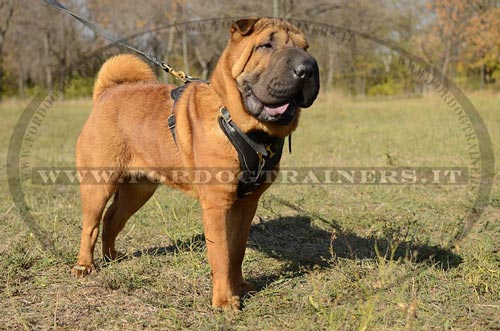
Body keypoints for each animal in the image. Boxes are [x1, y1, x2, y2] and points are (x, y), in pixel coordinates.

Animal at [71, 18, 320, 312]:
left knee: (112, 219)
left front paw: (241, 287)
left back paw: (112, 256)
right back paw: (85, 267)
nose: (307, 68)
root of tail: (107, 93)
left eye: (305, 48)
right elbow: (221, 253)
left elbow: (237, 250)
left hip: (139, 190)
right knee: (91, 225)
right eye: (266, 46)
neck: (243, 126)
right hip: (98, 184)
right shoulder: (217, 203)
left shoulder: (247, 203)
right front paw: (224, 301)